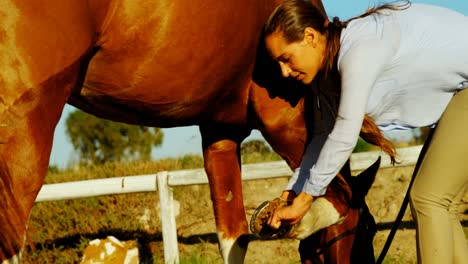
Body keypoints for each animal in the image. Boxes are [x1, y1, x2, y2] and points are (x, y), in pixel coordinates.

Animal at [0, 0, 376, 262]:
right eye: (369, 233)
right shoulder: (285, 119)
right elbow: (336, 201)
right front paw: (288, 219)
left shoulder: (219, 133)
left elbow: (233, 239)